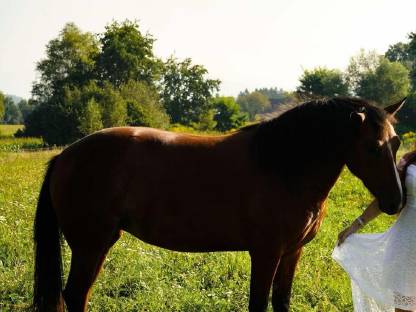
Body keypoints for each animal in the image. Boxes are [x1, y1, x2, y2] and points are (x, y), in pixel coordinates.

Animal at [34, 96, 404, 310]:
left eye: (396, 142)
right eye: (372, 147)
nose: (396, 201)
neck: (282, 165)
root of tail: (65, 155)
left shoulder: (291, 253)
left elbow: (281, 302)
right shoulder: (266, 253)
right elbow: (259, 304)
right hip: (91, 246)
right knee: (74, 296)